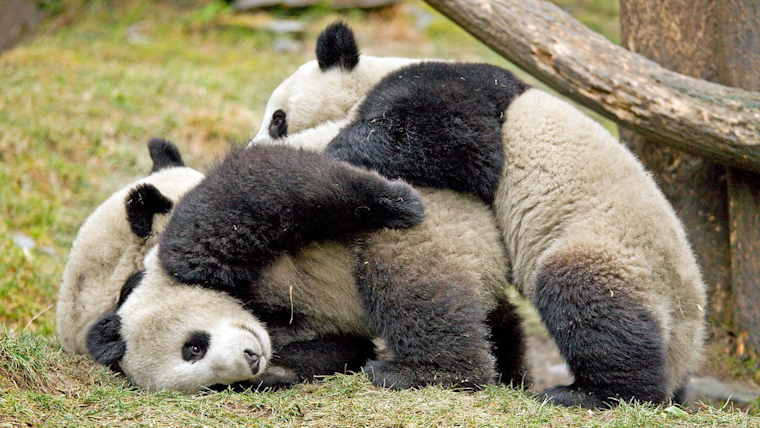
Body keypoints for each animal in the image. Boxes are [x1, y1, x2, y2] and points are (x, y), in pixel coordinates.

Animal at [85, 143, 526, 392]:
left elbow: (248, 187)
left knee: (412, 287)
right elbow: (337, 349)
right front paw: (274, 375)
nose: (250, 361)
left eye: (193, 347)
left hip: (431, 234)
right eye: (206, 378)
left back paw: (427, 372)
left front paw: (393, 199)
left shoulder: (194, 256)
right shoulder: (298, 331)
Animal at [250, 22, 708, 408]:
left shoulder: (460, 89)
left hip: (618, 253)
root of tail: (688, 348)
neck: (372, 75)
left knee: (589, 301)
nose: (258, 143)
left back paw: (590, 393)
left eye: (277, 119)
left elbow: (461, 144)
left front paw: (338, 148)